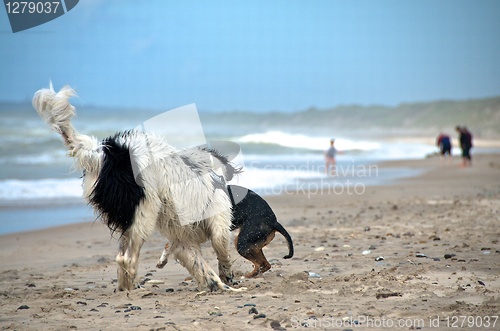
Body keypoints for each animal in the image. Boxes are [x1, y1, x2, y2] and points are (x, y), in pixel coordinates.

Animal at [32, 83, 243, 294]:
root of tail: (106, 154)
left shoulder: (183, 239)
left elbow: (200, 266)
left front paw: (216, 283)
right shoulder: (217, 223)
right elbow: (222, 249)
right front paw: (227, 279)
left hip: (130, 217)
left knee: (120, 257)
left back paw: (126, 287)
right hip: (145, 210)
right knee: (127, 258)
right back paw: (134, 287)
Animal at [156, 185, 292, 278]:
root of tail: (274, 222)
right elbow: (169, 245)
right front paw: (162, 261)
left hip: (242, 243)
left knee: (262, 264)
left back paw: (245, 276)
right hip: (251, 244)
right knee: (265, 264)